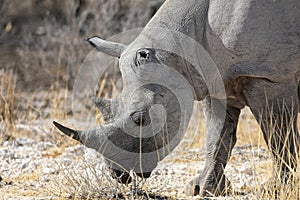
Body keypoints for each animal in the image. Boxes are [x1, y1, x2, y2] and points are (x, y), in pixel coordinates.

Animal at [53, 0, 300, 197]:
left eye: (140, 120)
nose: (117, 173)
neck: (177, 52)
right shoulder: (216, 80)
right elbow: (217, 137)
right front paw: (202, 189)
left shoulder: (268, 76)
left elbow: (279, 137)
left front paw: (278, 190)